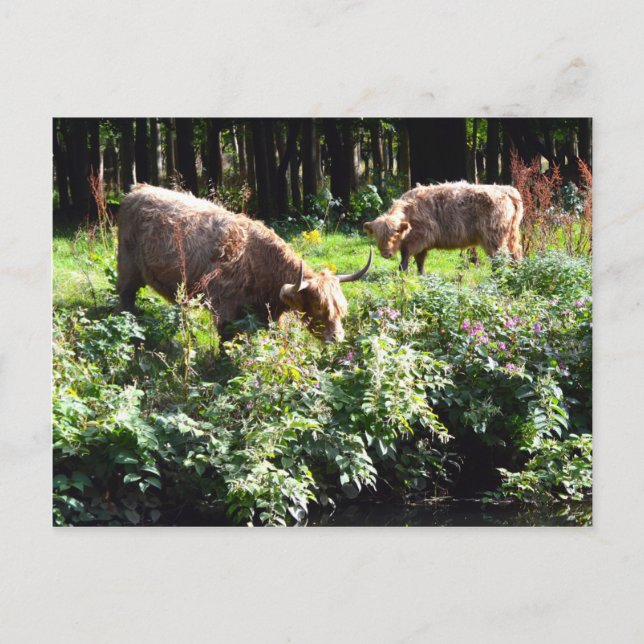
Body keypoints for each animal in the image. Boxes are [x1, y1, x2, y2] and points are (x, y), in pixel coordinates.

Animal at [117, 184, 372, 342]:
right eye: (320, 308)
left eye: (342, 310)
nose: (337, 338)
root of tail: (139, 189)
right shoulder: (225, 312)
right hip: (127, 268)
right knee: (126, 298)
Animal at [363, 182, 523, 274]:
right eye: (377, 236)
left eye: (395, 234)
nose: (386, 254)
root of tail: (507, 190)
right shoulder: (421, 245)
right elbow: (420, 262)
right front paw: (421, 275)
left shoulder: (418, 239)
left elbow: (405, 260)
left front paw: (404, 274)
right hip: (512, 234)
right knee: (516, 255)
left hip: (494, 238)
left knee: (500, 259)